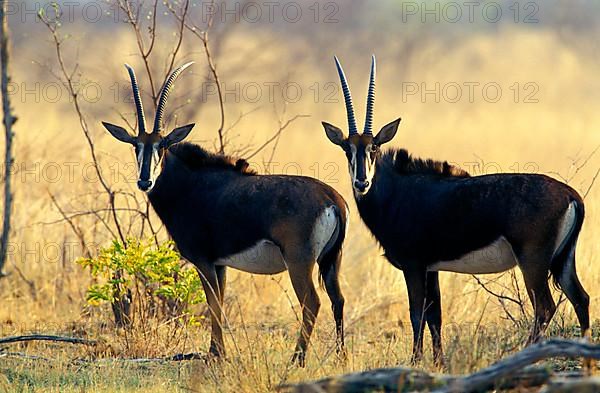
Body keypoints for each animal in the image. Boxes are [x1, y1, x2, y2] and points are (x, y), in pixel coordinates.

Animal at [101, 62, 350, 366]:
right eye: (136, 145)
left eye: (162, 145)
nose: (144, 181)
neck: (190, 185)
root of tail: (332, 199)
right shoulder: (220, 264)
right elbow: (218, 302)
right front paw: (218, 351)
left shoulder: (203, 261)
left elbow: (213, 304)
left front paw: (215, 353)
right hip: (330, 259)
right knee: (338, 299)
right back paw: (341, 357)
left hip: (299, 261)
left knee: (312, 302)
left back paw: (297, 359)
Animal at [324, 55, 592, 364]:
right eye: (347, 150)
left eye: (374, 149)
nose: (362, 182)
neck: (396, 192)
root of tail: (571, 195)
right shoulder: (431, 268)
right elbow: (435, 316)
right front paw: (438, 362)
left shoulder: (413, 265)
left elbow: (416, 313)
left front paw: (415, 361)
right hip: (563, 259)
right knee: (581, 298)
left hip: (533, 260)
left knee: (545, 306)